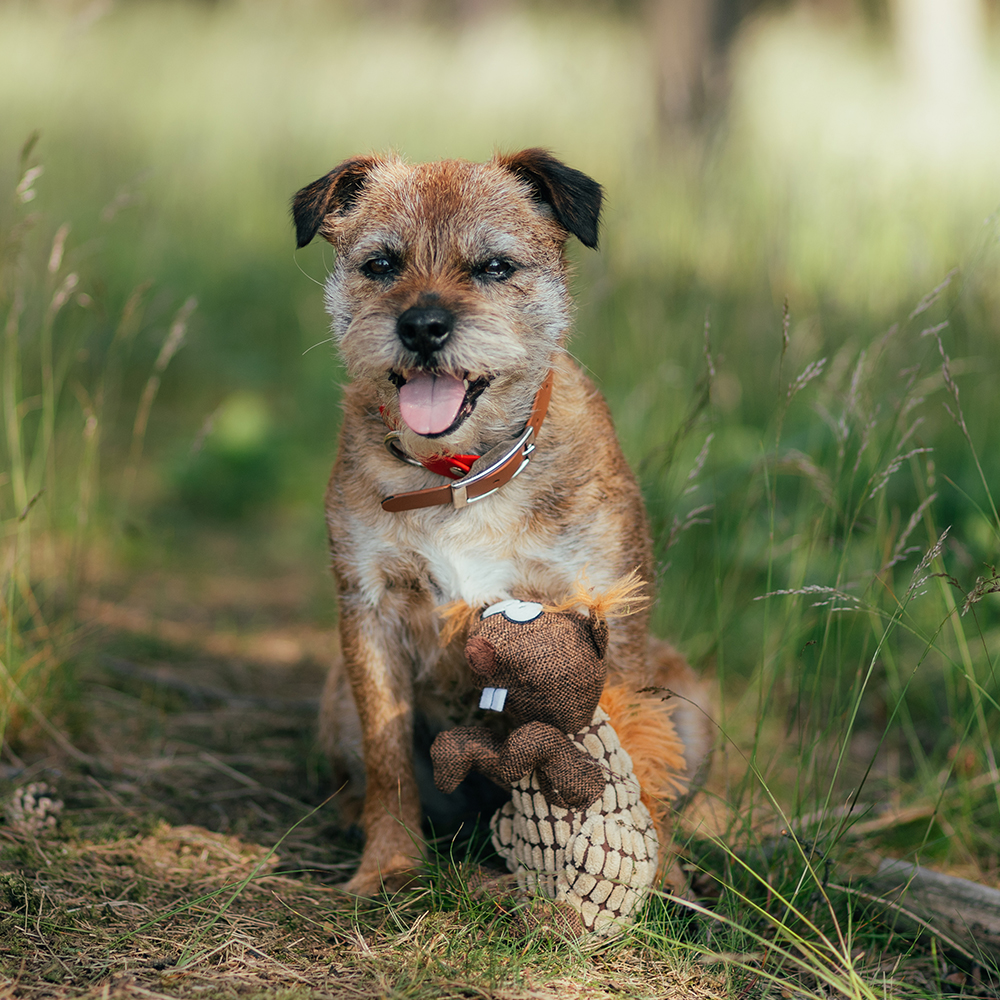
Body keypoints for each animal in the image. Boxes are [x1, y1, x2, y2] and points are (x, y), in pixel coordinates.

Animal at [290, 150, 712, 900]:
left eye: (493, 267)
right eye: (381, 264)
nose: (422, 326)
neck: (461, 476)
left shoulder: (608, 613)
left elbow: (638, 755)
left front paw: (661, 884)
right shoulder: (369, 613)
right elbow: (389, 757)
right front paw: (388, 866)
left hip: (689, 699)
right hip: (337, 703)